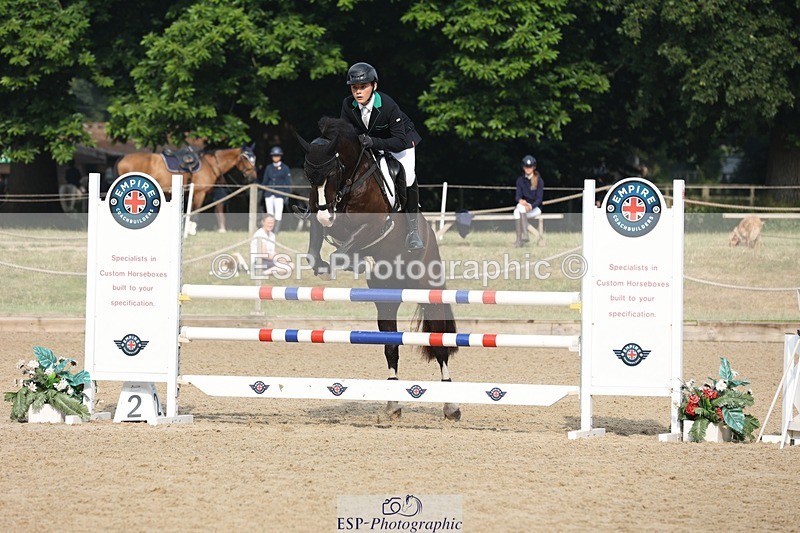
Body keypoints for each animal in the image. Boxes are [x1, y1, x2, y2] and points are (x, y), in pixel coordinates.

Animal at [116, 145, 258, 215]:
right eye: (245, 157)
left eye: (254, 158)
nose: (253, 177)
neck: (210, 164)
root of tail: (122, 159)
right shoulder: (199, 194)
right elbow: (195, 213)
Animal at [296, 117, 460, 421]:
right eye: (307, 174)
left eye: (334, 170)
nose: (325, 214)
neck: (351, 180)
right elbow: (320, 247)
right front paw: (333, 262)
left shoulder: (372, 224)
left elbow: (345, 246)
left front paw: (347, 260)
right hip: (387, 301)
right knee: (391, 347)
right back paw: (393, 404)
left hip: (429, 293)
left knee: (439, 345)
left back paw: (452, 406)